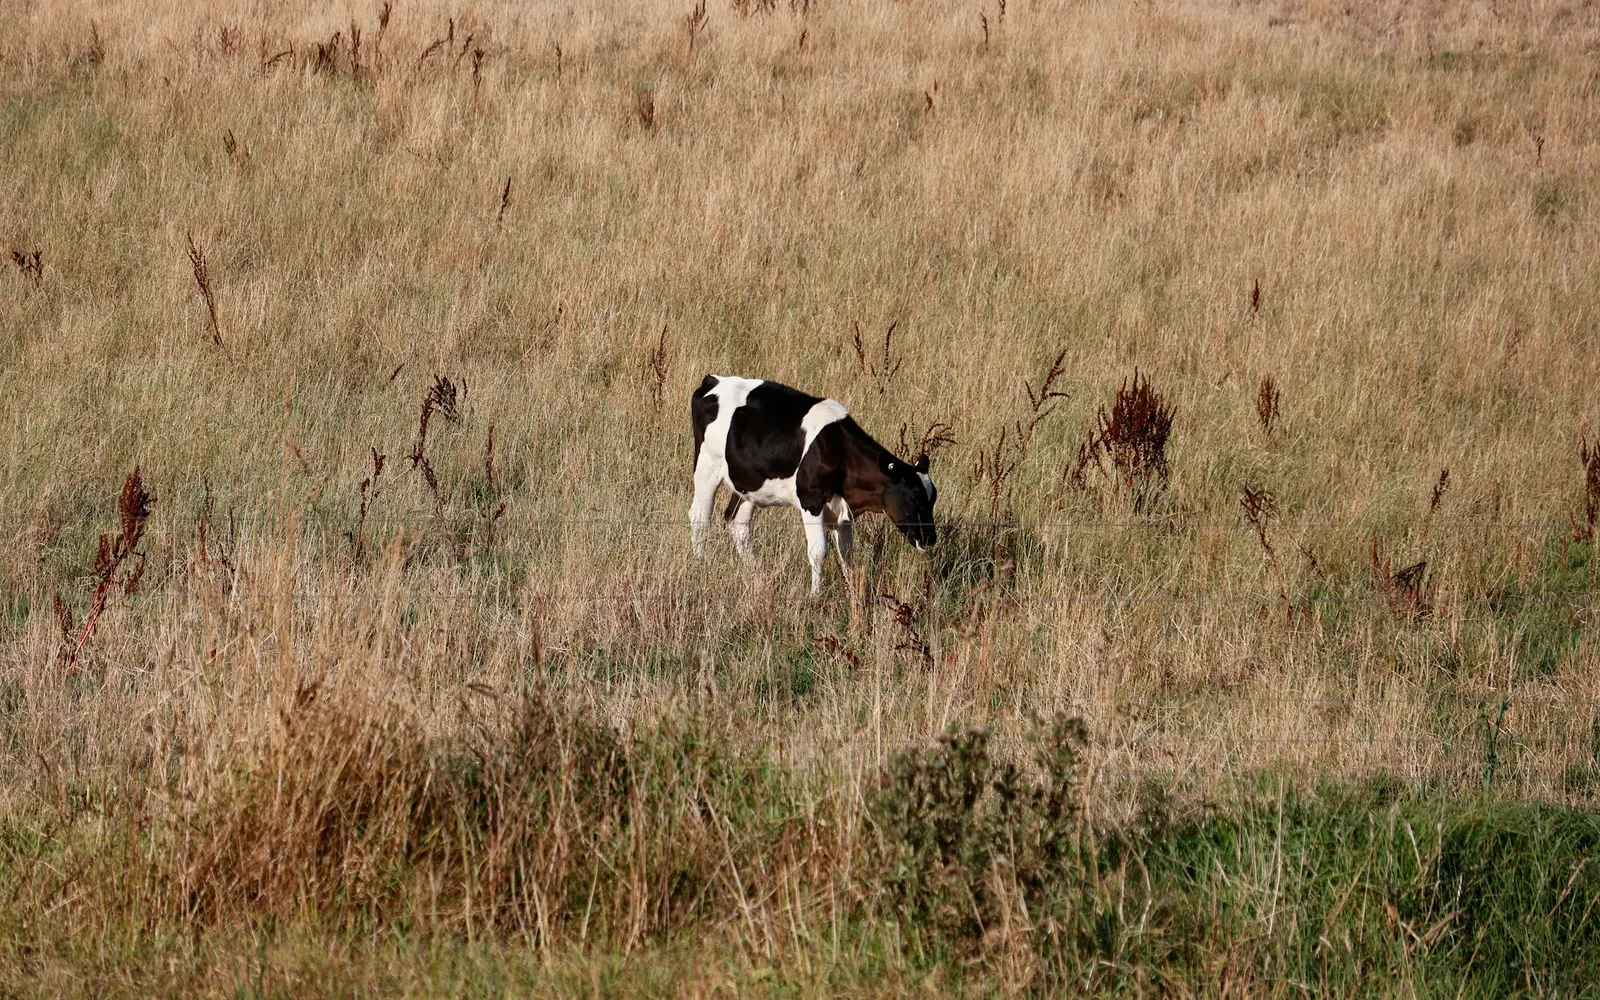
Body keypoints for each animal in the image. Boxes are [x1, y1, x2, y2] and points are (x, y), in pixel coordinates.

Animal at [689, 375, 937, 595]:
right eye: (914, 497)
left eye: (933, 499)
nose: (930, 538)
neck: (839, 450)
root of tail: (714, 380)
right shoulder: (811, 500)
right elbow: (819, 552)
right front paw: (815, 596)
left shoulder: (842, 511)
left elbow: (847, 555)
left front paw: (851, 593)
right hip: (707, 465)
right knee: (700, 517)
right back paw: (700, 563)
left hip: (748, 483)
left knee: (738, 525)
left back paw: (756, 573)